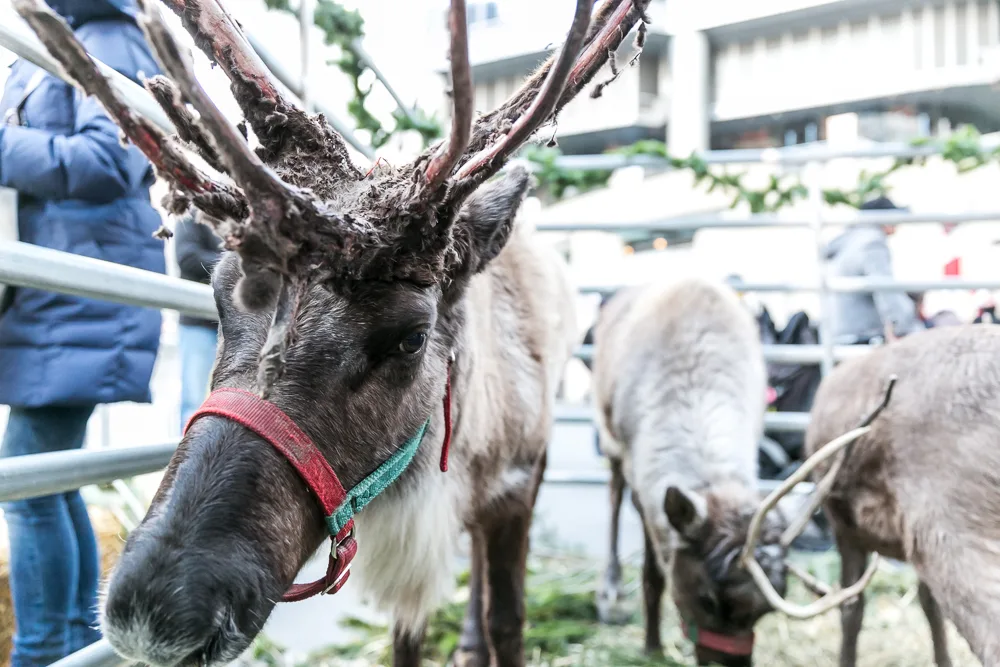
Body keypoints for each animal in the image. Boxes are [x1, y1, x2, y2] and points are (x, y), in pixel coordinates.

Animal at [13, 0, 655, 665]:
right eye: (219, 295)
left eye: (410, 337)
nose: (151, 613)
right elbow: (407, 641)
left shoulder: (519, 485)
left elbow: (510, 619)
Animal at [591, 277, 880, 666]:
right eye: (708, 600)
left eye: (763, 612)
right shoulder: (639, 474)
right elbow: (654, 570)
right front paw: (652, 645)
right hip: (609, 440)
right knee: (612, 494)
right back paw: (611, 592)